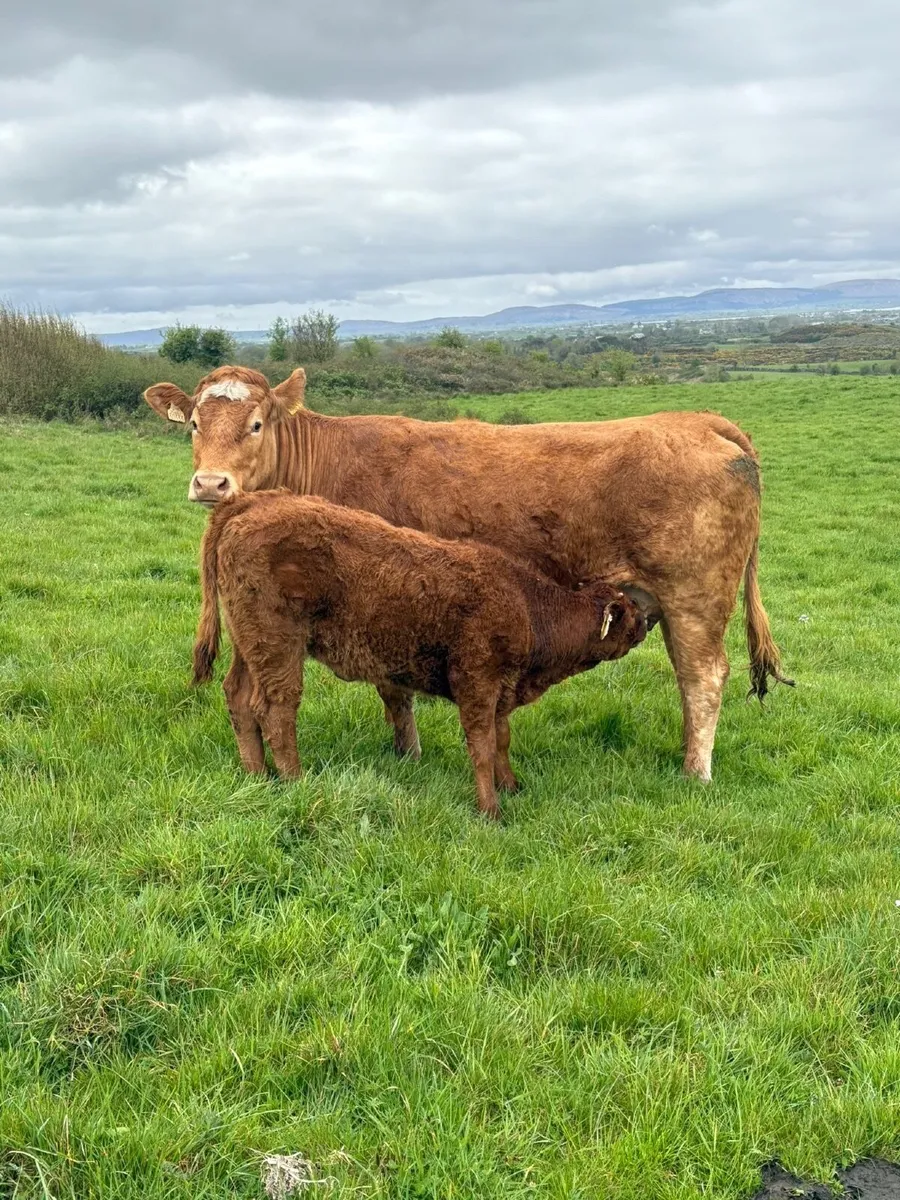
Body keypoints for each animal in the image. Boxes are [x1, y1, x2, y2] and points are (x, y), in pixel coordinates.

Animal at [145, 364, 791, 782]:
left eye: (256, 424)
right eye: (193, 425)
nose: (211, 484)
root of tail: (700, 421)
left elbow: (394, 690)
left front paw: (408, 753)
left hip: (693, 598)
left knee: (703, 678)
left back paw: (694, 773)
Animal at [192, 491, 647, 817]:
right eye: (628, 610)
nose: (646, 622)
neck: (525, 603)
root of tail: (251, 501)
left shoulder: (501, 691)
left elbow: (501, 740)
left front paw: (512, 786)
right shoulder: (477, 684)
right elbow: (482, 746)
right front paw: (491, 810)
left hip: (250, 646)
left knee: (238, 697)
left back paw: (257, 775)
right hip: (279, 644)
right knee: (275, 708)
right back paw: (294, 781)